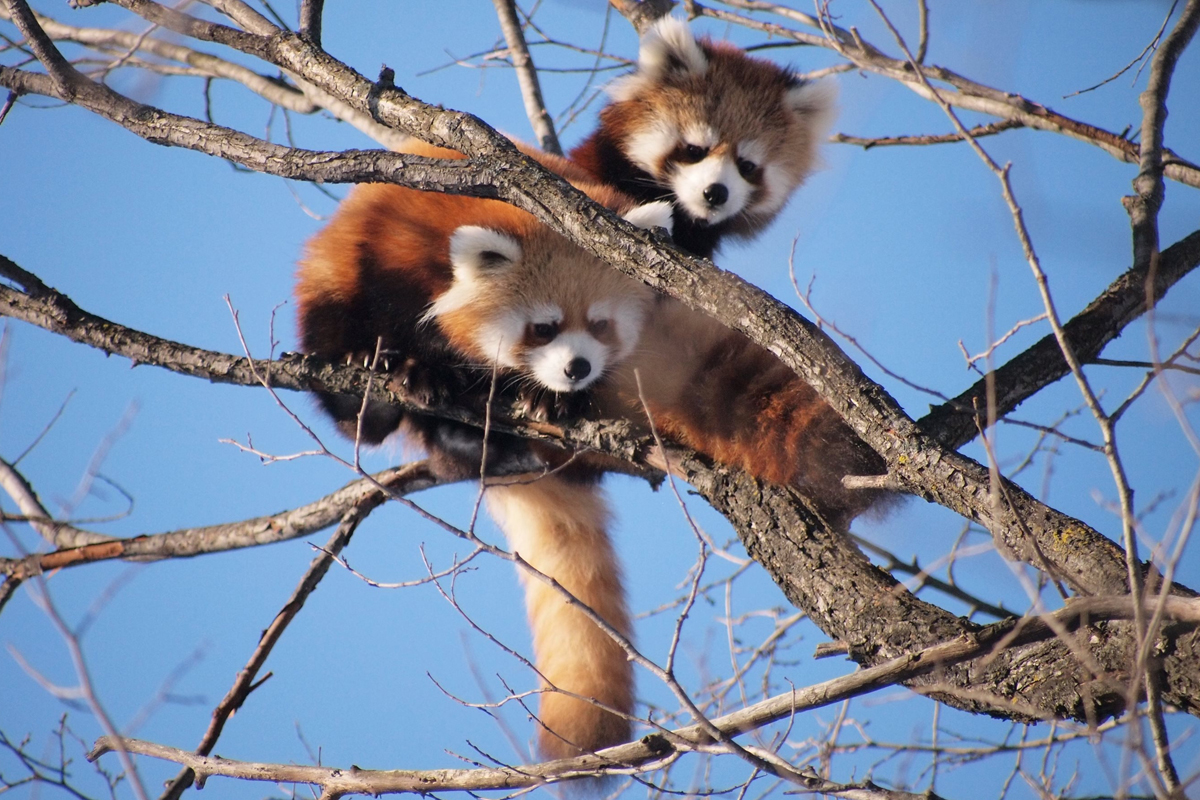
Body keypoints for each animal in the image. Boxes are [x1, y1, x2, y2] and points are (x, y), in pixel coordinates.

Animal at [294, 176, 672, 762]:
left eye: (600, 325)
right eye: (544, 328)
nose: (577, 368)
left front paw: (553, 399)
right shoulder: (389, 248)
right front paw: (414, 371)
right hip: (326, 279)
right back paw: (369, 398)